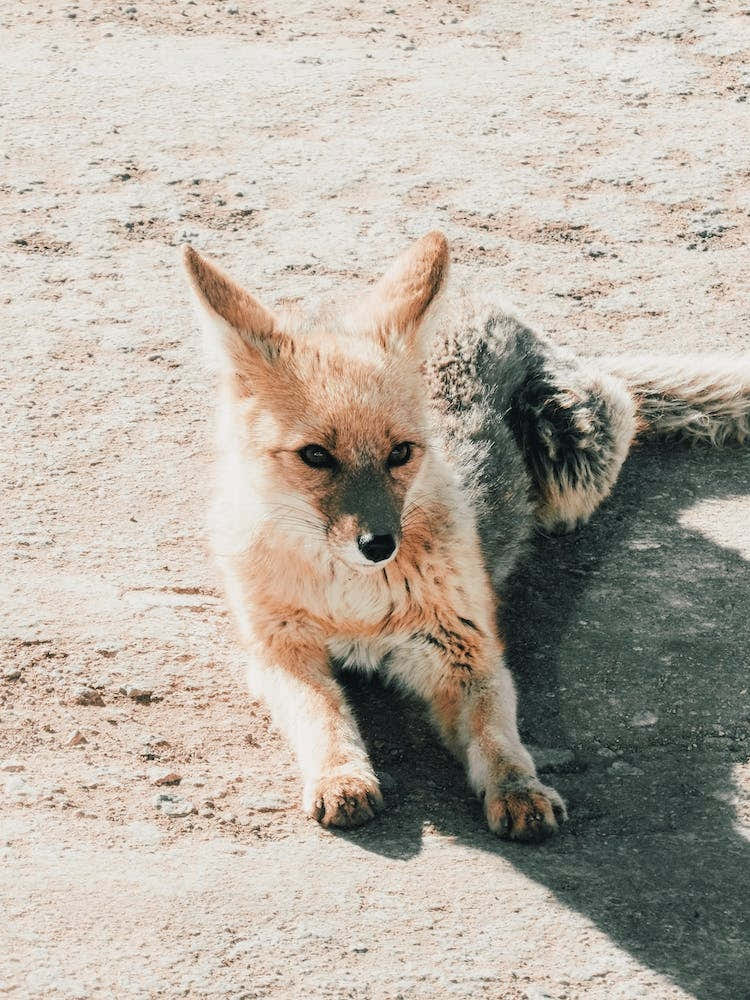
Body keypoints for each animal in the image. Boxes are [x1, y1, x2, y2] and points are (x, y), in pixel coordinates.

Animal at [183, 232, 750, 842]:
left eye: (400, 453)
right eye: (315, 455)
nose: (379, 545)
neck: (353, 605)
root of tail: (478, 301)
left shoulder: (468, 654)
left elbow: (497, 737)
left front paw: (518, 790)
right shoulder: (280, 651)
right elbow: (323, 718)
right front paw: (341, 777)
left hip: (574, 465)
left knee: (626, 402)